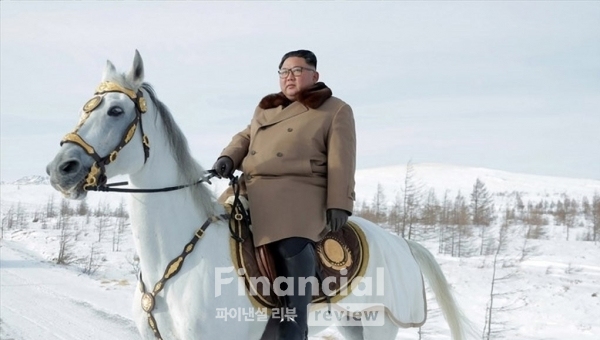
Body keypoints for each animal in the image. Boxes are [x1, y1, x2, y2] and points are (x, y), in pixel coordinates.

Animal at [45, 51, 468, 340]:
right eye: (86, 108)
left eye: (116, 111)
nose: (60, 169)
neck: (174, 259)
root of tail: (403, 243)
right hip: (352, 324)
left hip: (381, 325)